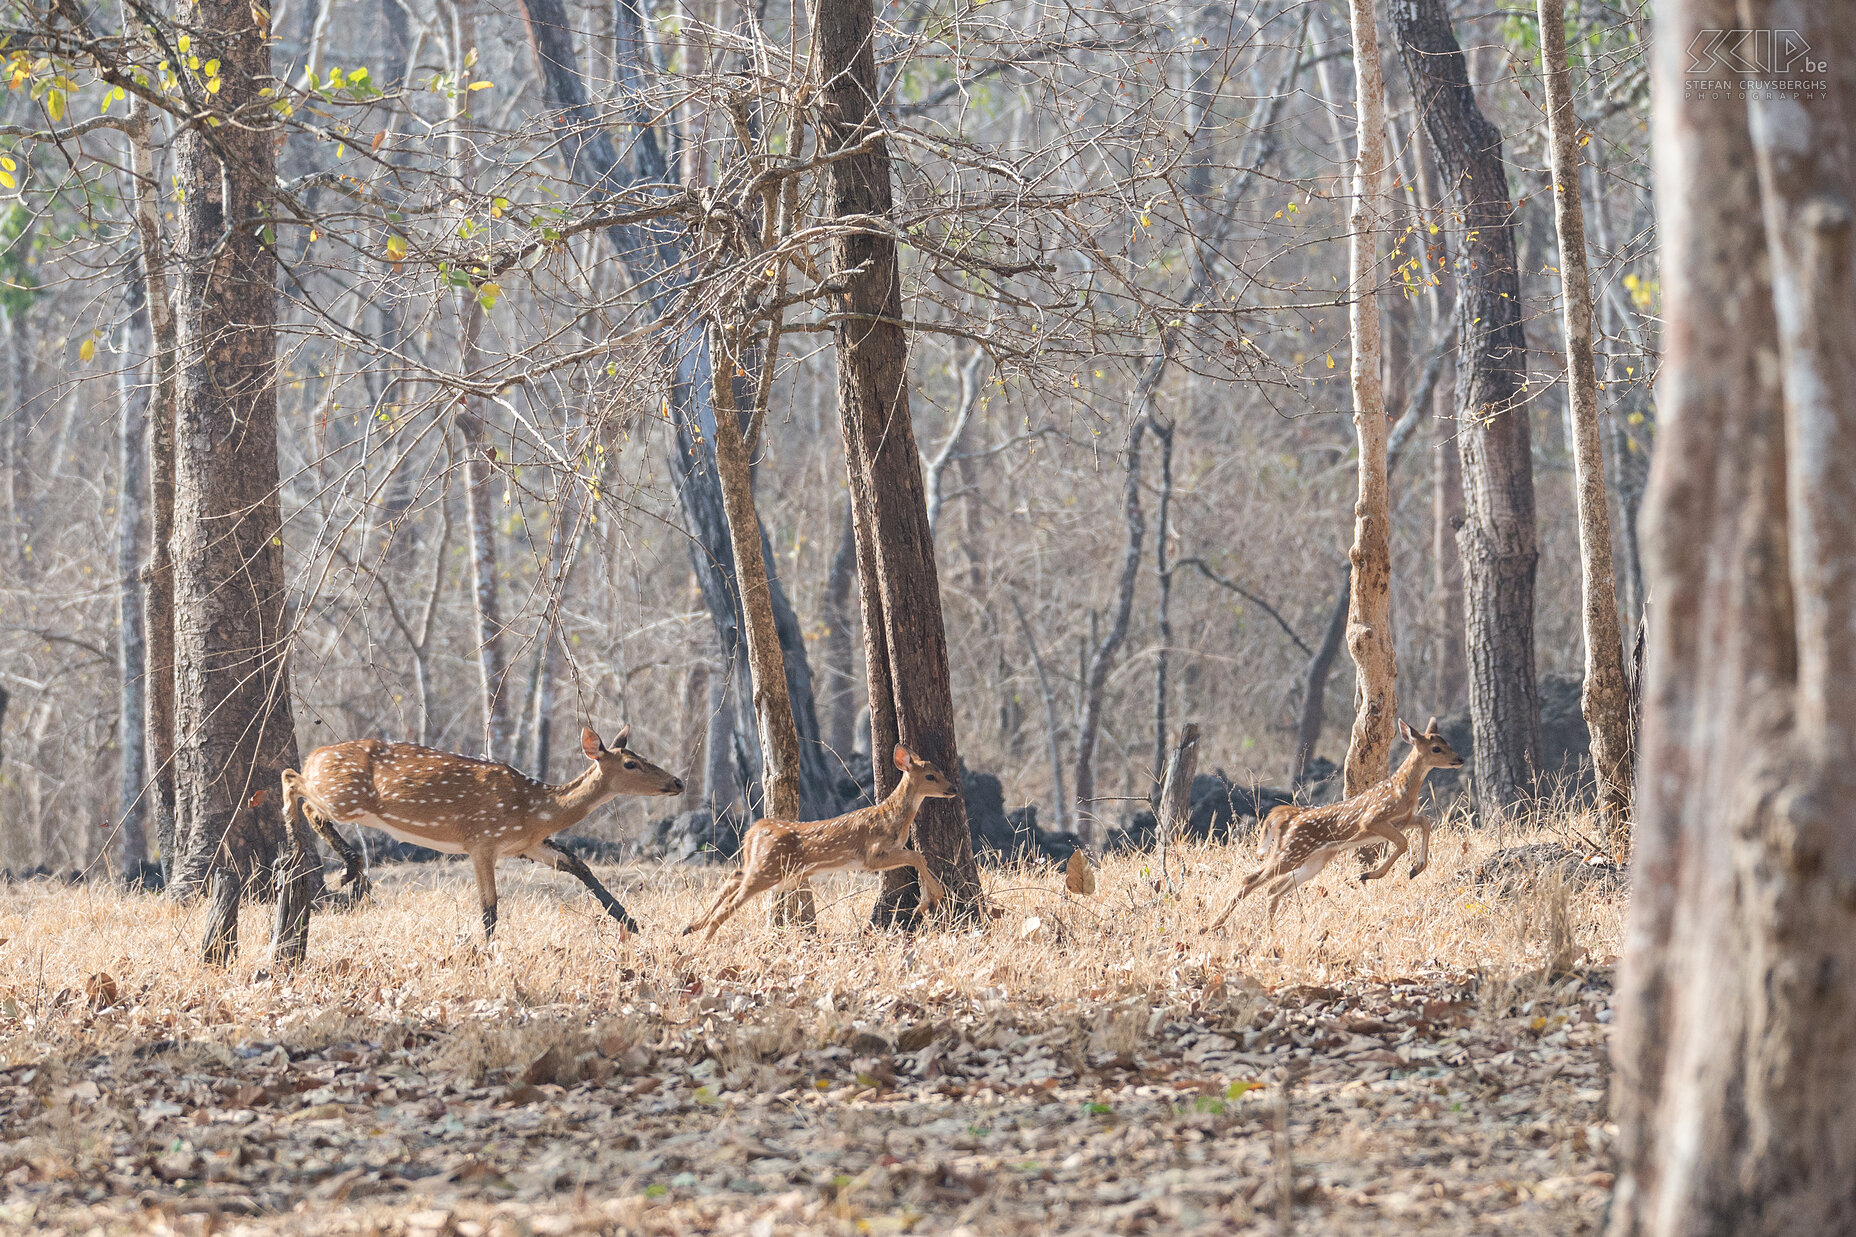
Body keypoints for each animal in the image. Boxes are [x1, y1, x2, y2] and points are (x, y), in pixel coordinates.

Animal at [285, 724, 694, 936]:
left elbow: (578, 864)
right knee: (294, 783)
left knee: (297, 785)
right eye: (630, 763)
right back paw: (344, 864)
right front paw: (489, 954)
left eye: (640, 757)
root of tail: (316, 755)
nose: (678, 782)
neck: (536, 810)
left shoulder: (526, 845)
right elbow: (490, 906)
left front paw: (631, 921)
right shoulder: (482, 840)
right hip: (343, 797)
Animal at [690, 742, 965, 936]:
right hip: (770, 868)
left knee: (735, 876)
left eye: (941, 770)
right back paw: (699, 947)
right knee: (731, 903)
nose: (953, 789)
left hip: (766, 866)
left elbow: (918, 857)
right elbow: (917, 856)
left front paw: (927, 902)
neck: (891, 818)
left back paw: (691, 926)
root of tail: (755, 830)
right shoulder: (871, 855)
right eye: (930, 776)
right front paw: (928, 901)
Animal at [1202, 716, 1462, 928]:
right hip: (1291, 852)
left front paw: (1416, 869)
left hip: (1314, 859)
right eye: (1437, 748)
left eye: (1449, 743)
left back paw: (1270, 931)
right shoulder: (1372, 820)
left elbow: (1425, 823)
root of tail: (1289, 817)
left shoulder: (1404, 819)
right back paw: (1212, 926)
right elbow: (1403, 842)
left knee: (1274, 889)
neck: (1402, 790)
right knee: (1253, 879)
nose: (1459, 758)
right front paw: (1370, 875)